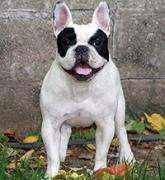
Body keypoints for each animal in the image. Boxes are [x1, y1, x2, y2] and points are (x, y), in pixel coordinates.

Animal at [40, 0, 135, 177]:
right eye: (67, 42)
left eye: (97, 42)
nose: (82, 48)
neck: (80, 86)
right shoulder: (50, 124)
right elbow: (52, 155)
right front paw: (52, 173)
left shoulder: (105, 124)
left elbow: (101, 153)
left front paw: (100, 170)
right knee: (66, 131)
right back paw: (62, 152)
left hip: (119, 111)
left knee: (122, 131)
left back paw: (127, 156)